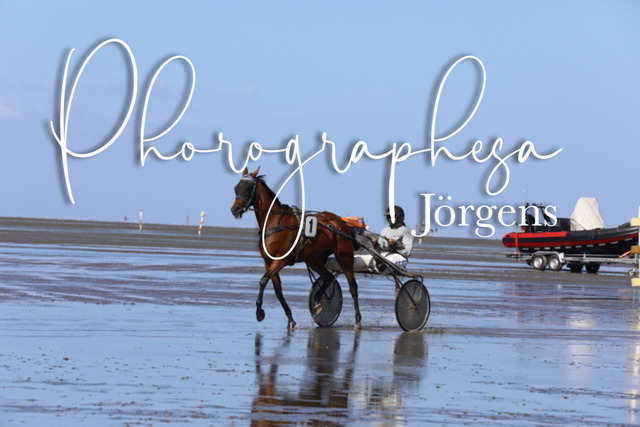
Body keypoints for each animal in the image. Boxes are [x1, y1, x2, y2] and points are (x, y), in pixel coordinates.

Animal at [230, 167, 362, 329]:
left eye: (248, 188)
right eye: (236, 187)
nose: (235, 209)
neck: (274, 222)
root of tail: (342, 222)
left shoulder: (280, 261)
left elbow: (263, 281)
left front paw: (259, 312)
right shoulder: (268, 262)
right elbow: (278, 290)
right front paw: (290, 319)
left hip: (344, 257)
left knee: (353, 287)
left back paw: (357, 320)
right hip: (314, 260)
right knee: (328, 278)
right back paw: (317, 303)